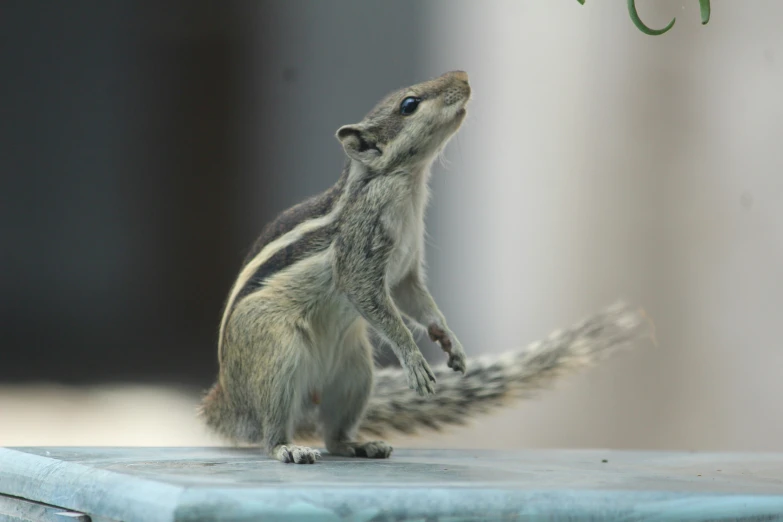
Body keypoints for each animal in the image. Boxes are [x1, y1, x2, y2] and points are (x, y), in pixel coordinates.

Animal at [198, 70, 656, 464]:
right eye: (409, 104)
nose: (464, 77)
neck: (407, 181)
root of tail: (229, 403)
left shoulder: (405, 270)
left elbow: (415, 300)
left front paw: (448, 341)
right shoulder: (359, 255)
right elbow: (374, 300)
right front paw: (414, 358)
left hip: (354, 375)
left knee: (333, 437)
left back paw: (359, 445)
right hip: (276, 358)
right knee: (272, 430)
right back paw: (288, 448)